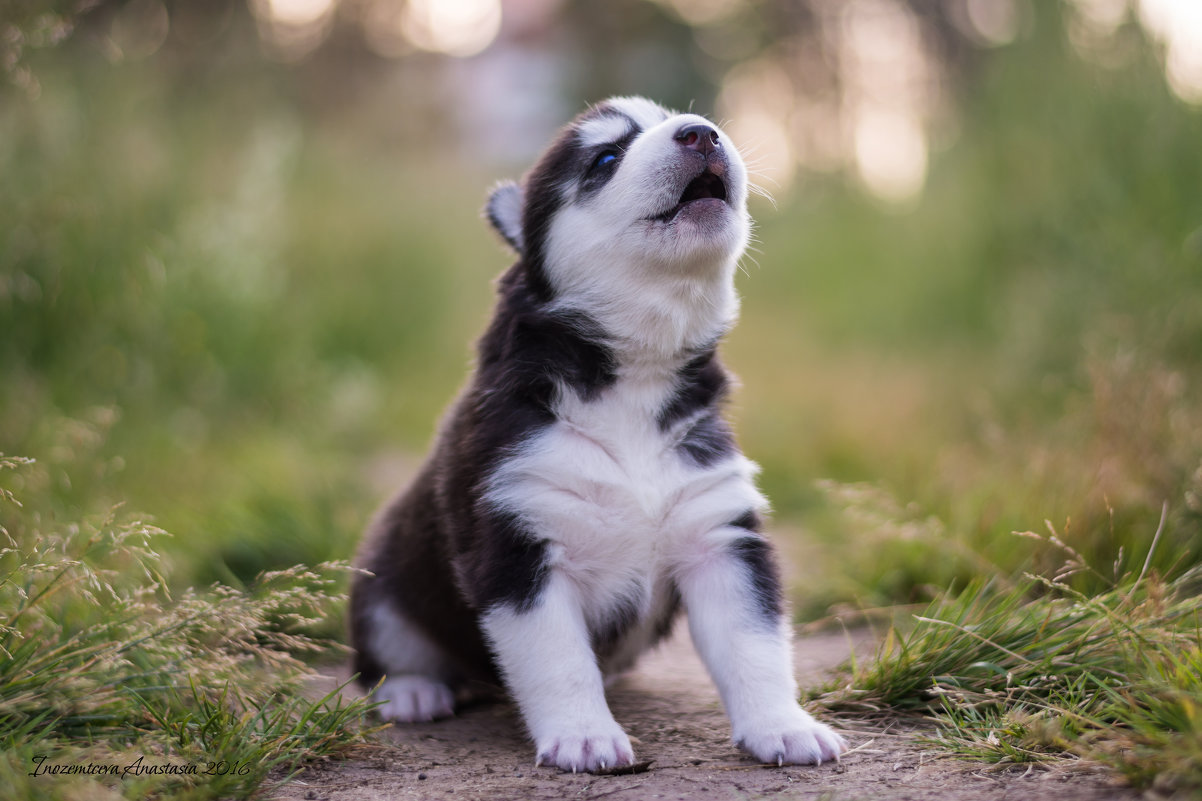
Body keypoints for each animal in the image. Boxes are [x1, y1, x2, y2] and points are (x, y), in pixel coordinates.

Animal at [350, 96, 846, 769]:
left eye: (690, 124)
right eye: (607, 158)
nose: (702, 133)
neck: (635, 376)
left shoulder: (721, 537)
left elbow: (756, 647)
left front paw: (784, 726)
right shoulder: (517, 549)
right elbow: (560, 661)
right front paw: (584, 735)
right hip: (381, 585)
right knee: (384, 655)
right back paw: (412, 692)